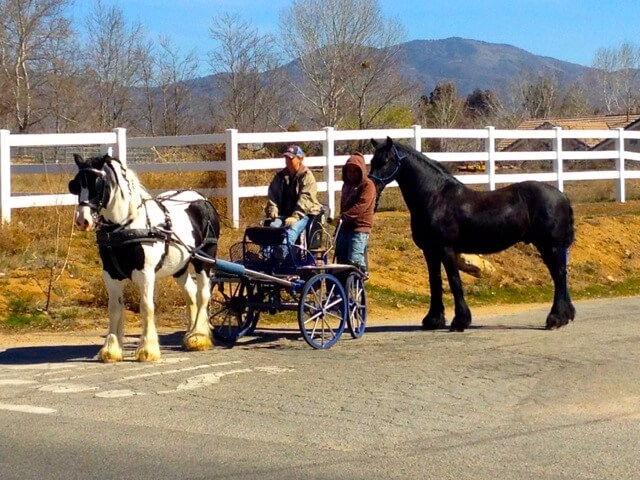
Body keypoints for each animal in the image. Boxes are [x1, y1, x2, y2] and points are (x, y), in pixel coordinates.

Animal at [68, 153, 220, 361]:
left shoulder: (146, 273)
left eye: (98, 184)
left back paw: (198, 337)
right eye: (76, 185)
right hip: (179, 266)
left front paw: (147, 349)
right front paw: (111, 349)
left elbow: (146, 307)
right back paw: (190, 334)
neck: (126, 226)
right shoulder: (111, 274)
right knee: (190, 293)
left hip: (204, 260)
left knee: (202, 294)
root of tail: (203, 199)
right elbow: (114, 309)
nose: (82, 220)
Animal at [368, 137, 575, 332]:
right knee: (560, 276)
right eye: (372, 160)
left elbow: (454, 282)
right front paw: (433, 320)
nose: (371, 186)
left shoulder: (447, 249)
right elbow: (435, 282)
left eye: (385, 160)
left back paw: (555, 319)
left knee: (559, 275)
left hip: (550, 246)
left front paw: (460, 321)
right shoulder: (430, 251)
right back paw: (565, 316)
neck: (435, 197)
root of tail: (562, 196)